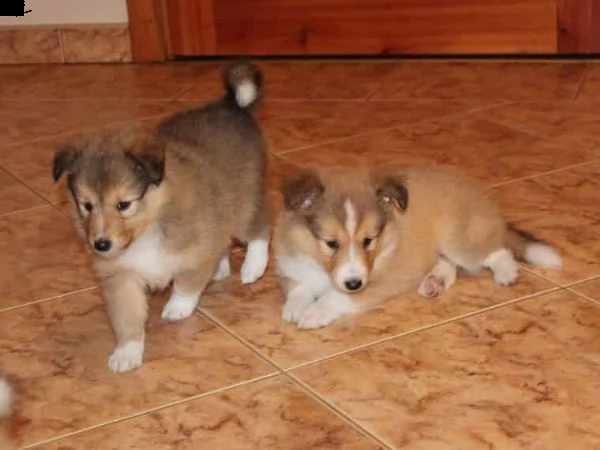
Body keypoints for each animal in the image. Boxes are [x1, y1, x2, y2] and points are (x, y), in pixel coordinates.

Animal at [54, 63, 270, 372]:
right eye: (86, 205)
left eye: (124, 204)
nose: (101, 245)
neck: (148, 227)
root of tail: (232, 105)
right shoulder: (120, 276)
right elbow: (126, 317)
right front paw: (127, 353)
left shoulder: (196, 245)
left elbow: (188, 281)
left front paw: (177, 307)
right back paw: (221, 268)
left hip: (245, 201)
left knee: (259, 228)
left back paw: (253, 267)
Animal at [274, 165, 564, 326]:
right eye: (331, 243)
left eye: (369, 240)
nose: (354, 283)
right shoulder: (291, 264)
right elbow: (298, 287)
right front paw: (295, 307)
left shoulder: (385, 279)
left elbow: (337, 297)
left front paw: (314, 313)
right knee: (447, 265)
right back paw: (433, 283)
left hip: (458, 239)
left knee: (495, 250)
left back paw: (506, 273)